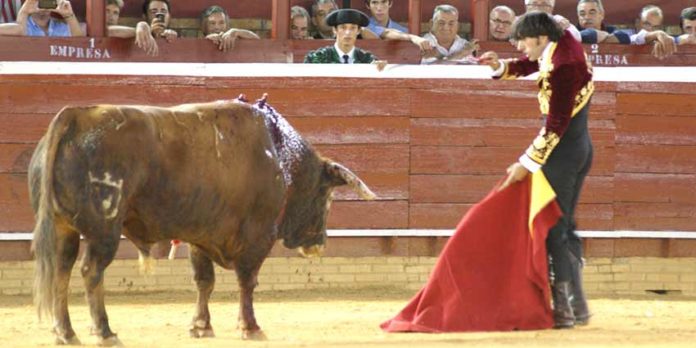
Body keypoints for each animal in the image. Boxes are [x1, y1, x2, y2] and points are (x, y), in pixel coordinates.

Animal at [29, 95, 376, 346]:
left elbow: (203, 280)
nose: (320, 243)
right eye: (327, 196)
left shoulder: (200, 235)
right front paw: (250, 327)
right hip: (104, 231)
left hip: (63, 229)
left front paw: (200, 326)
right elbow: (247, 281)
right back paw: (104, 332)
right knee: (91, 272)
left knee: (61, 271)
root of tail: (74, 116)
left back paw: (65, 333)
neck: (279, 155)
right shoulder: (258, 237)